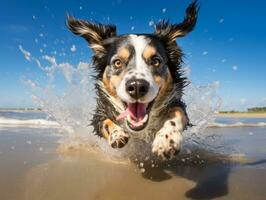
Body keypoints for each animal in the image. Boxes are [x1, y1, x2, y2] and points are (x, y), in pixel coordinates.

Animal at [67, 0, 198, 159]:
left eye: (156, 61)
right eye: (117, 62)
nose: (136, 87)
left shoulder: (176, 102)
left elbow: (176, 112)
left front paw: (167, 139)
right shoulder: (99, 113)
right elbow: (105, 122)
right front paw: (117, 134)